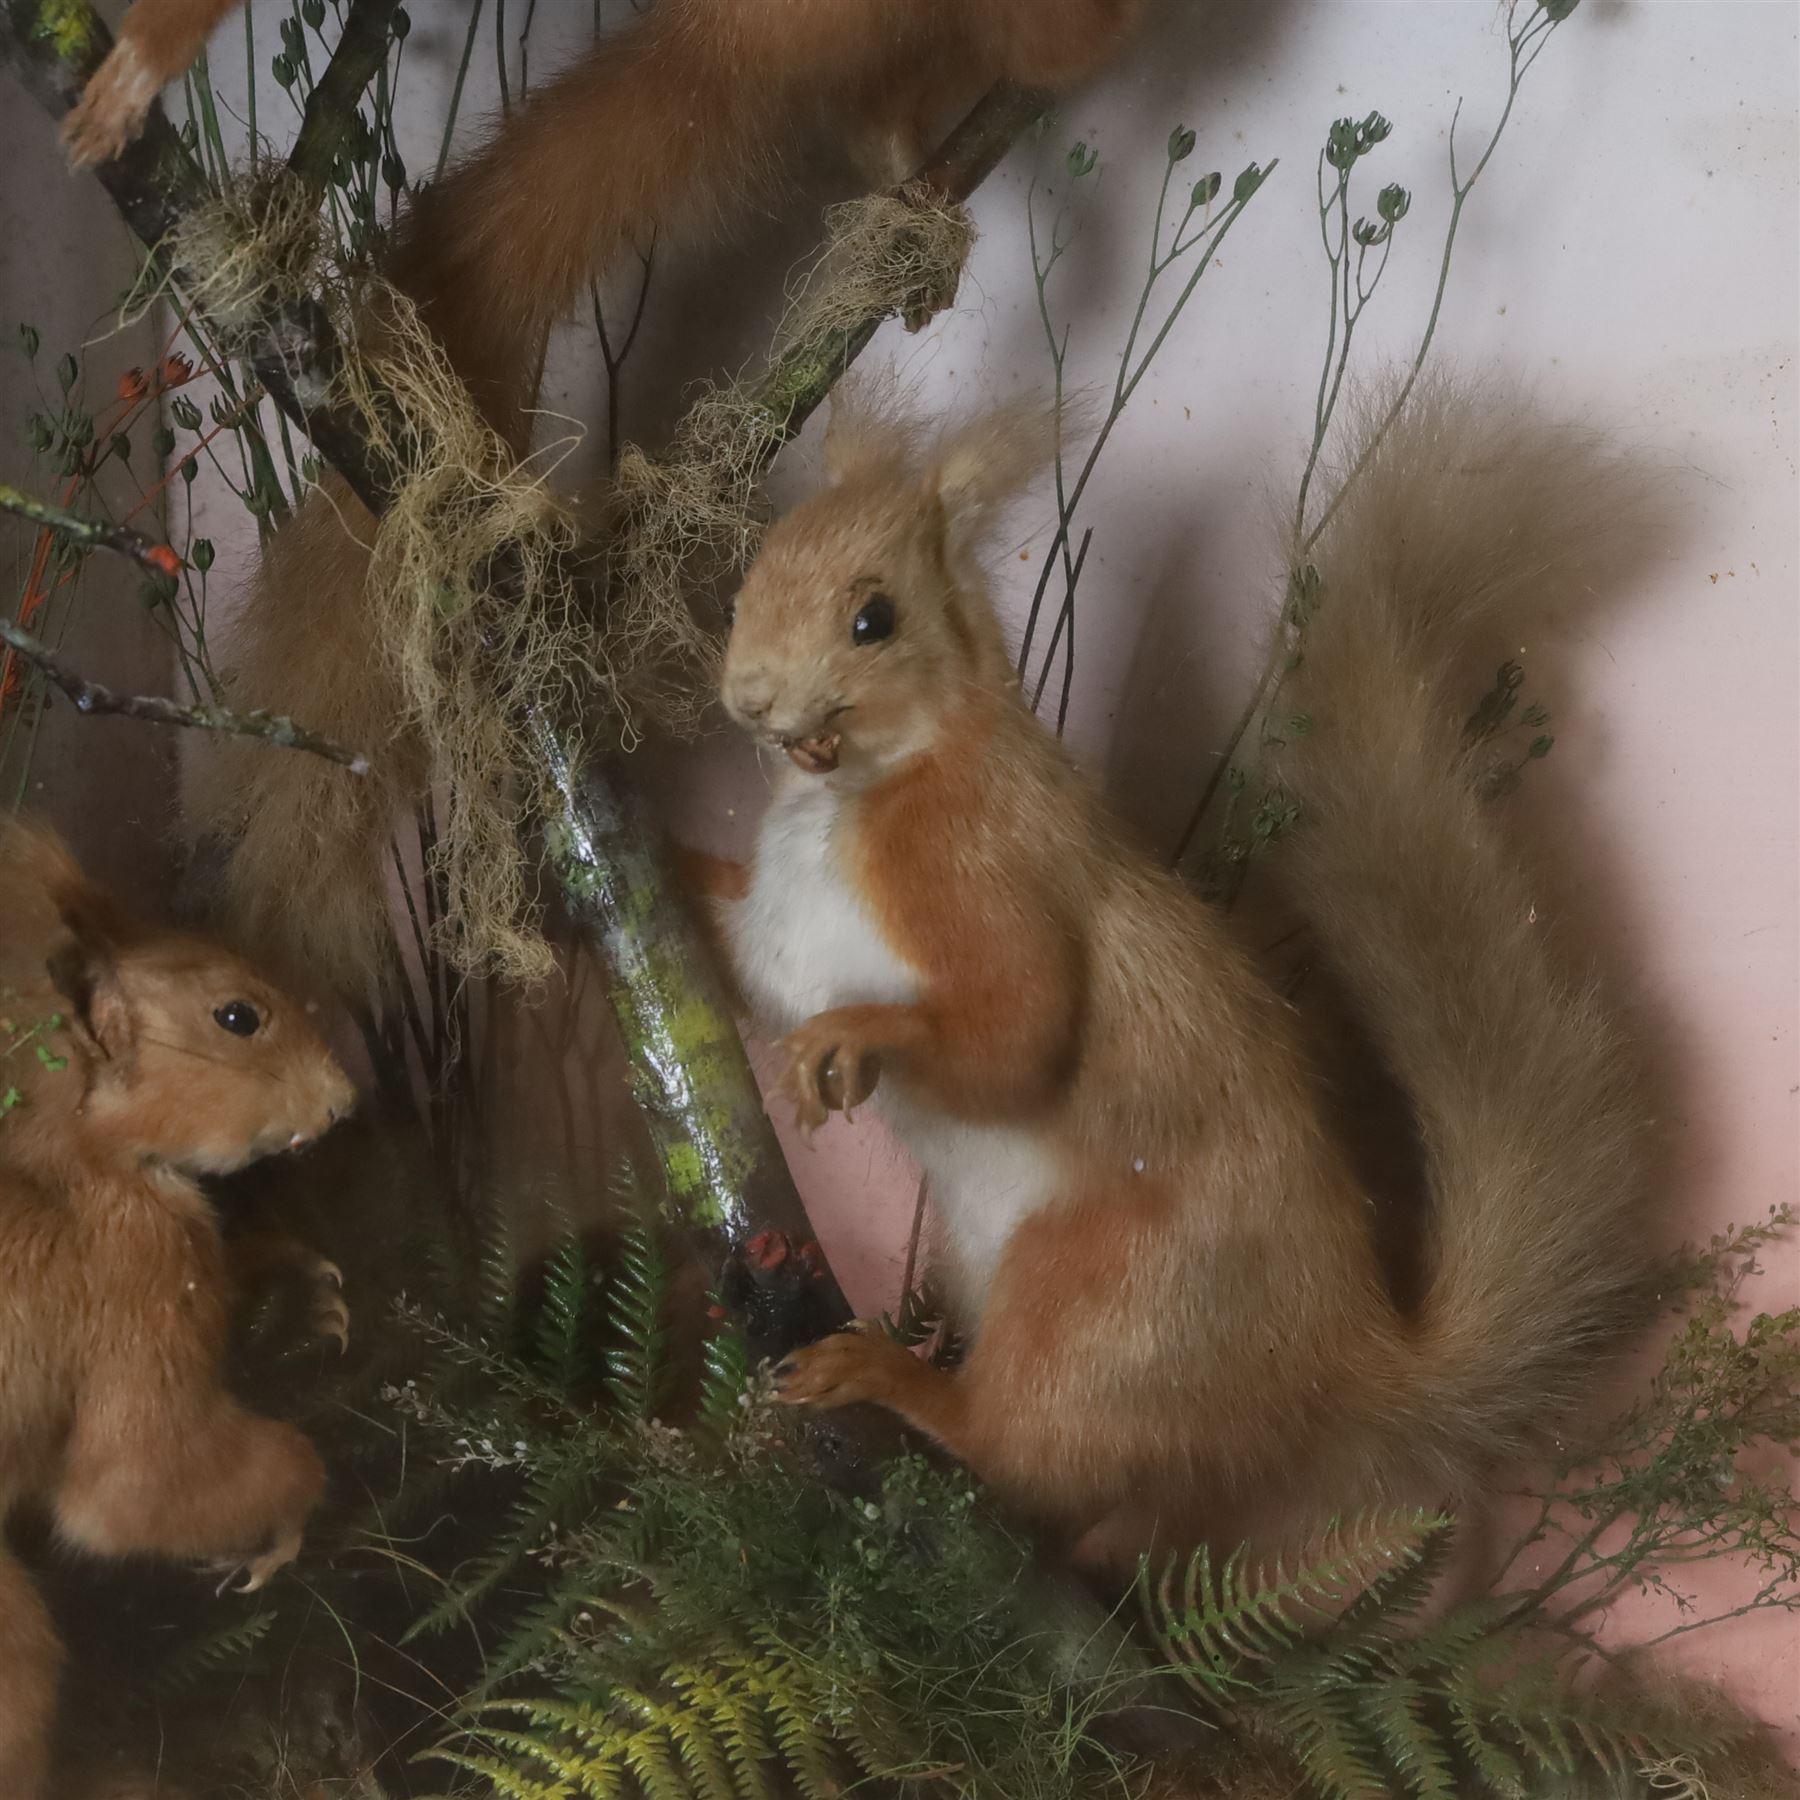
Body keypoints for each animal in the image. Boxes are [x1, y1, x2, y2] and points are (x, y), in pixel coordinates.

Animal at [0, 820, 353, 1800]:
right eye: (237, 1016)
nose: (343, 1099)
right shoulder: (137, 1296)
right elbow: (134, 1491)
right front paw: (282, 1532)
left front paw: (299, 1283)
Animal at [687, 379, 1656, 1566]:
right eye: (751, 579)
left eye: (875, 619)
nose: (748, 698)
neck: (857, 794)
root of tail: (1336, 1363)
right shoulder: (775, 920)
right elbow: (737, 946)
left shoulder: (985, 873)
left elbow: (1020, 1036)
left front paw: (854, 1038)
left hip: (1096, 1305)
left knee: (1025, 1453)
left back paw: (897, 1379)